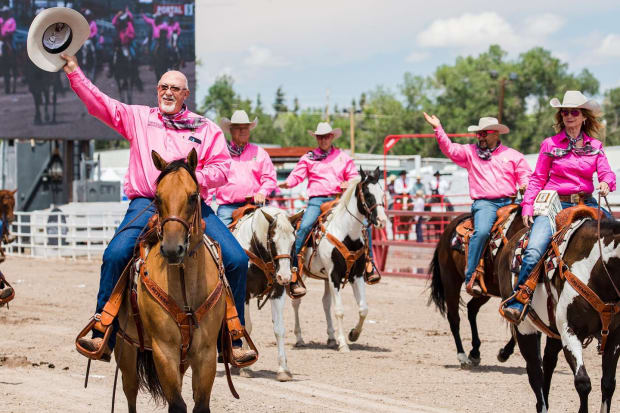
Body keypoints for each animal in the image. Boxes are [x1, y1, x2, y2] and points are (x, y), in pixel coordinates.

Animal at [114, 150, 228, 412]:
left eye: (193, 196)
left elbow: (200, 404)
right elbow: (176, 404)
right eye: (157, 197)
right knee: (130, 391)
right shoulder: (164, 351)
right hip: (125, 347)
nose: (172, 249)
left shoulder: (205, 353)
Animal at [230, 204, 300, 382]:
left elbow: (279, 329)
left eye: (294, 241)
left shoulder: (278, 292)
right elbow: (246, 326)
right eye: (273, 241)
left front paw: (283, 370)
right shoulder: (244, 294)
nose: (285, 276)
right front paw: (247, 367)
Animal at [292, 167, 388, 350]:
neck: (347, 234)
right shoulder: (334, 275)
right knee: (297, 302)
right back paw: (299, 339)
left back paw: (331, 338)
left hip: (325, 278)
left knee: (325, 302)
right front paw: (343, 344)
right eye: (368, 194)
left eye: (382, 193)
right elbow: (339, 310)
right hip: (303, 274)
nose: (382, 221)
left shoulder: (356, 275)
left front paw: (353, 334)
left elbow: (363, 308)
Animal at [428, 203, 524, 366]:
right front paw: (504, 352)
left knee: (472, 309)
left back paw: (475, 351)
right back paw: (462, 356)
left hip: (485, 291)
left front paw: (505, 352)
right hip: (450, 280)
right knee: (454, 317)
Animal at [496, 206, 620, 412]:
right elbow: (583, 382)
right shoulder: (570, 331)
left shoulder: (614, 337)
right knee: (535, 371)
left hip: (553, 331)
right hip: (525, 329)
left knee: (548, 364)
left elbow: (608, 384)